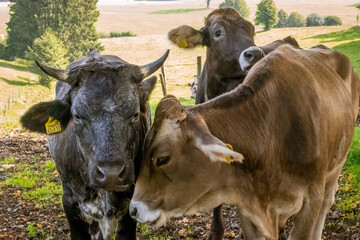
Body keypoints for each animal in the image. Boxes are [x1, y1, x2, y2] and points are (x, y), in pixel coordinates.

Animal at [129, 45, 358, 240]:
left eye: (162, 159)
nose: (134, 209)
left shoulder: (311, 198)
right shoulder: (247, 206)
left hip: (335, 167)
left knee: (327, 201)